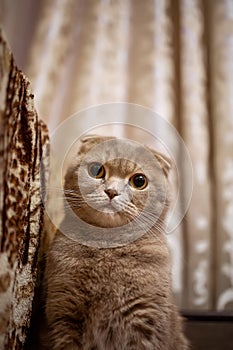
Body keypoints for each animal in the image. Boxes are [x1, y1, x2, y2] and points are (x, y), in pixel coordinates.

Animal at [44, 136, 189, 350]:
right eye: (96, 170)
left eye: (139, 181)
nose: (111, 191)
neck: (107, 251)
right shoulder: (62, 313)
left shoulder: (145, 320)